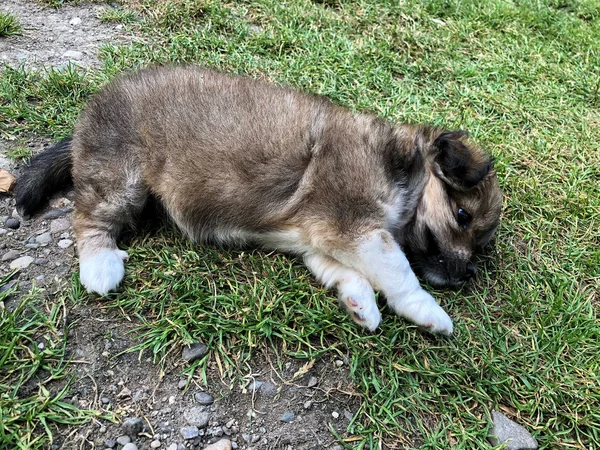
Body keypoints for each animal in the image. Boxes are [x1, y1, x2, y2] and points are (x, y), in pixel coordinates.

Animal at [15, 66, 502, 334]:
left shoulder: (319, 240)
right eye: (462, 216)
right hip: (120, 177)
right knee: (88, 217)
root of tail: (88, 116)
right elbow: (400, 271)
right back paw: (100, 265)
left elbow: (343, 272)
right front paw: (429, 311)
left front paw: (359, 303)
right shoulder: (354, 227)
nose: (470, 274)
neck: (399, 167)